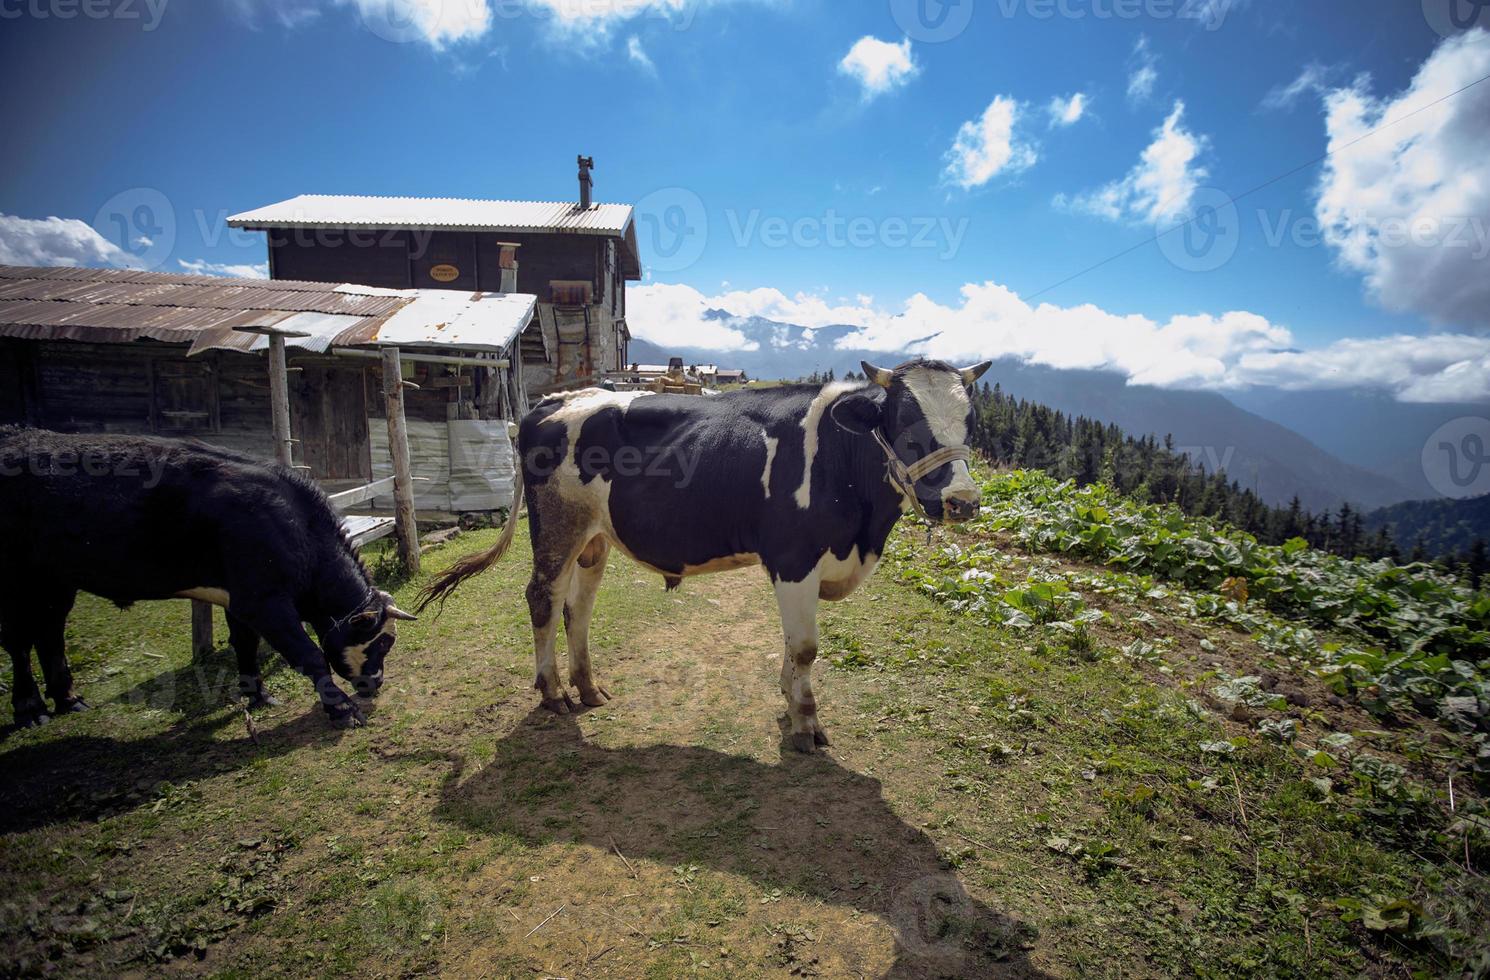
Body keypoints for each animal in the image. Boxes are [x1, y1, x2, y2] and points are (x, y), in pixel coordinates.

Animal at [0, 428, 414, 723]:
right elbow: (309, 655)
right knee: (18, 640)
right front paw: (341, 709)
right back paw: (30, 710)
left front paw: (258, 694)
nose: (376, 683)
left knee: (49, 632)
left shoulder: (239, 598)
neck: (295, 525)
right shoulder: (265, 601)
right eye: (382, 643)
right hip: (16, 576)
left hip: (55, 579)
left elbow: (244, 644)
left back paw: (68, 699)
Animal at [417, 357, 989, 747]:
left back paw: (588, 688)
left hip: (596, 537)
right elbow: (805, 648)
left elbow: (791, 645)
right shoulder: (793, 558)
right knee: (543, 598)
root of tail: (552, 401)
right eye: (905, 422)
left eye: (970, 424)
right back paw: (553, 692)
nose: (962, 502)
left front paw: (788, 700)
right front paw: (806, 722)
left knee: (578, 608)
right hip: (558, 526)